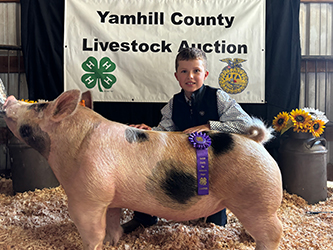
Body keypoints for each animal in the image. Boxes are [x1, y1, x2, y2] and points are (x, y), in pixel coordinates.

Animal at [1, 90, 282, 250]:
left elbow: (91, 233)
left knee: (274, 232)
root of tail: (256, 142)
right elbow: (112, 223)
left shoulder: (87, 198)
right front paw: (113, 243)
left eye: (38, 106)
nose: (10, 99)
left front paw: (95, 245)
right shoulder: (109, 198)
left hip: (258, 200)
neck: (72, 145)